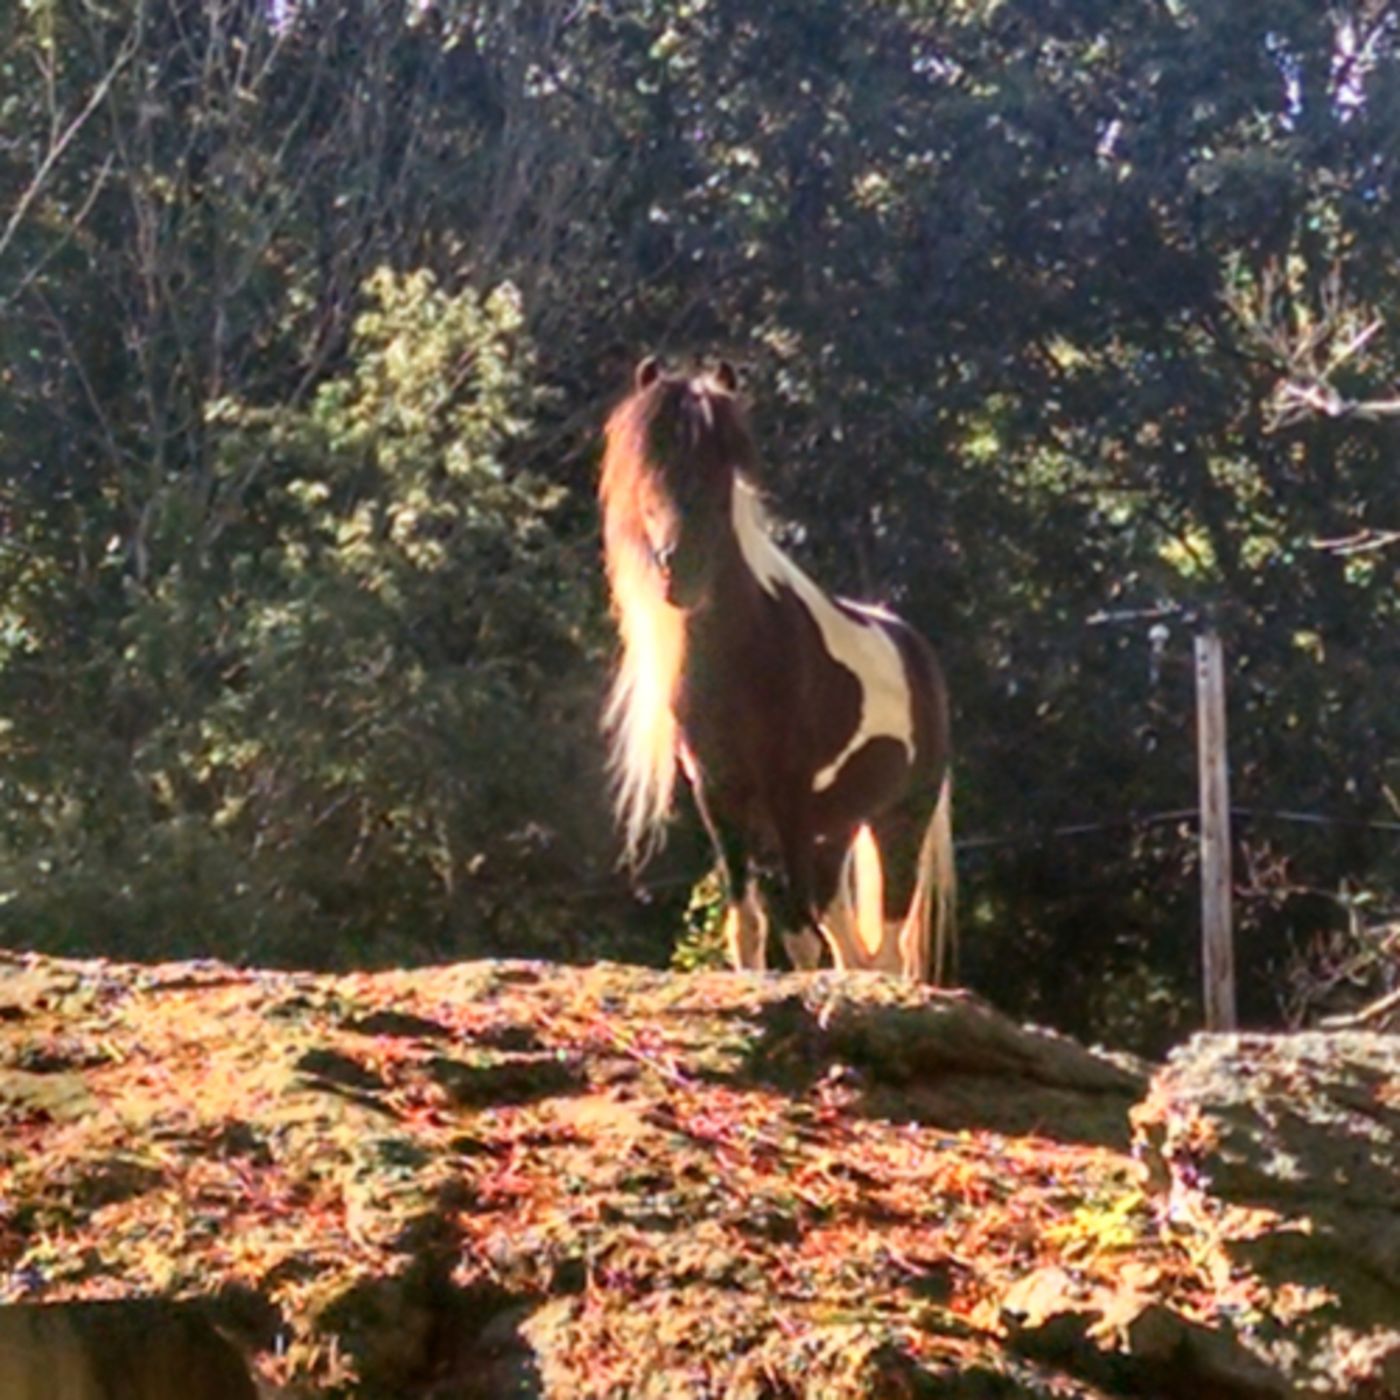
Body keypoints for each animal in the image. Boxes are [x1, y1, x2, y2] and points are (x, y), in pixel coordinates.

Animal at [598, 356, 956, 982]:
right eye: (649, 466)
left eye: (723, 468)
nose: (679, 573)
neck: (748, 656)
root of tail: (916, 648)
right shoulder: (719, 797)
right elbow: (748, 927)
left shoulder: (789, 795)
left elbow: (799, 936)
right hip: (835, 833)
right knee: (854, 949)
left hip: (898, 820)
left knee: (885, 947)